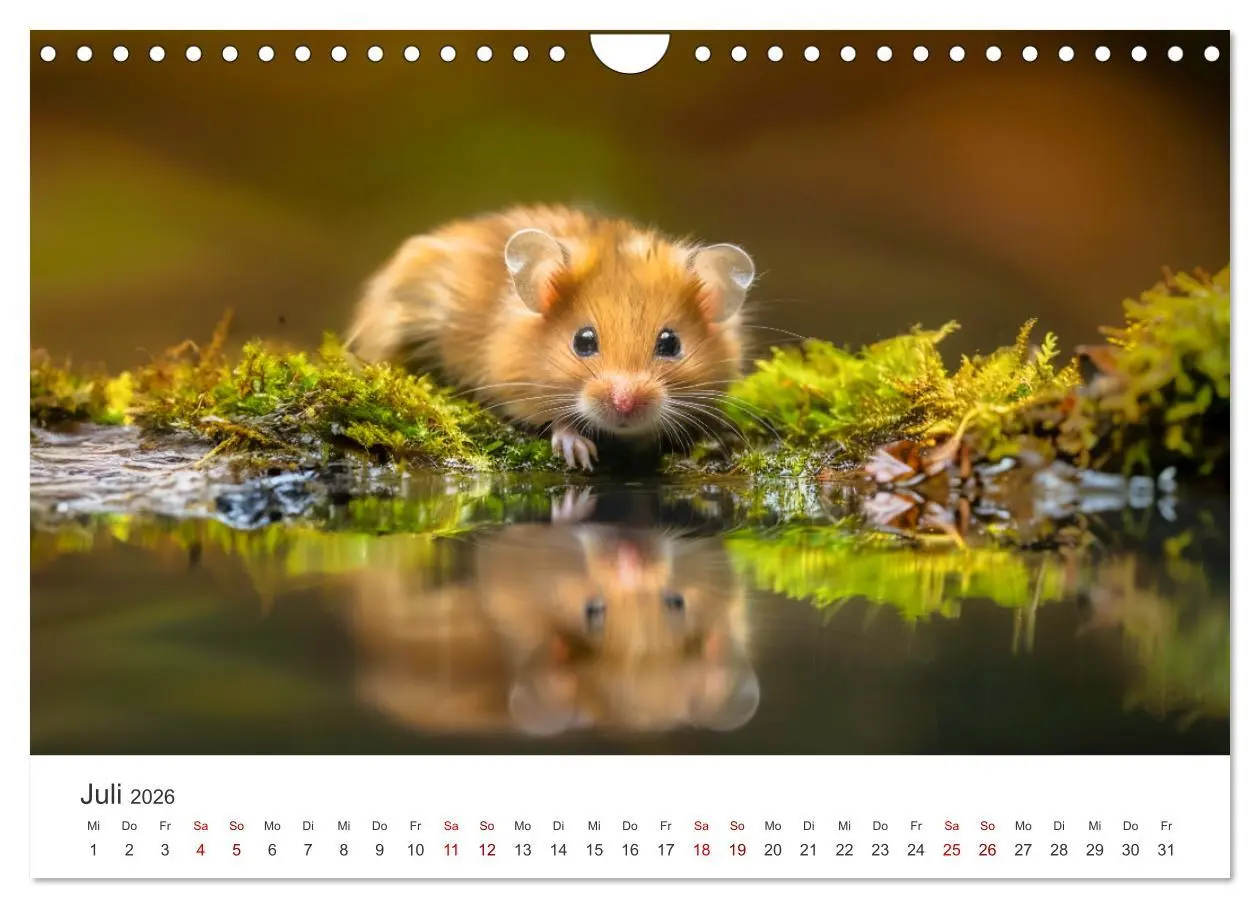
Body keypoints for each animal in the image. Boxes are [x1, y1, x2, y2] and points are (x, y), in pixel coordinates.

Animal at [345, 205, 756, 469]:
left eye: (671, 344)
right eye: (583, 341)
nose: (625, 406)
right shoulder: (513, 385)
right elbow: (554, 418)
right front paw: (579, 453)